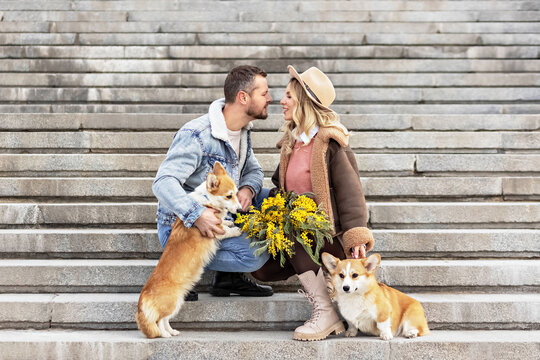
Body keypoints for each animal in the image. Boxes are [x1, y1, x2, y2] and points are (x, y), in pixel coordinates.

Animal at [136, 162, 244, 338]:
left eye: (236, 193)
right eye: (229, 196)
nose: (241, 209)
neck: (207, 200)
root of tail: (143, 298)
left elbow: (224, 223)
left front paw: (228, 222)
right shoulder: (215, 231)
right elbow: (225, 231)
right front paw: (235, 229)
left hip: (177, 303)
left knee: (165, 320)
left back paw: (172, 331)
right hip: (172, 303)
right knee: (159, 321)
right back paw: (164, 335)